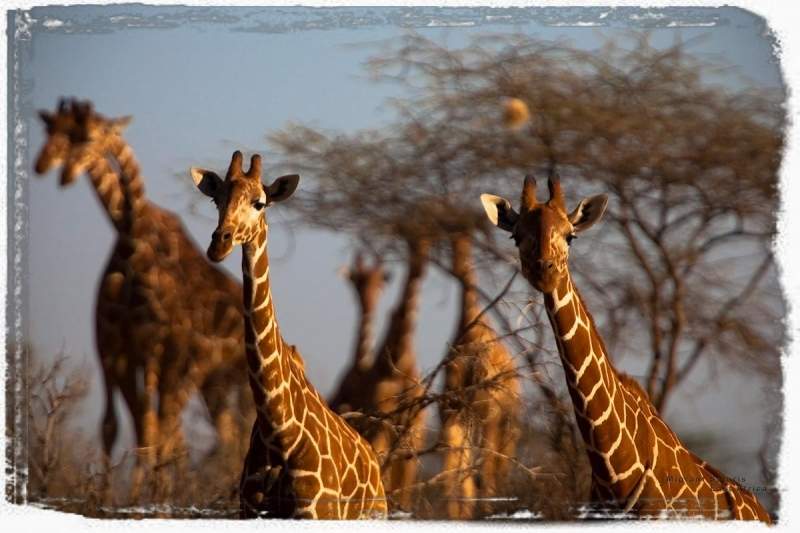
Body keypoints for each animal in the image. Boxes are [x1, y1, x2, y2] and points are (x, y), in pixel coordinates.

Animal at [33, 97, 253, 492]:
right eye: (52, 131)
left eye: (87, 136)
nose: (49, 168)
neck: (132, 241)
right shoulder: (114, 347)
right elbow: (118, 425)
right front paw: (113, 496)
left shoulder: (155, 349)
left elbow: (151, 425)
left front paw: (144, 493)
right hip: (212, 381)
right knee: (216, 432)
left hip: (225, 376)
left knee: (219, 432)